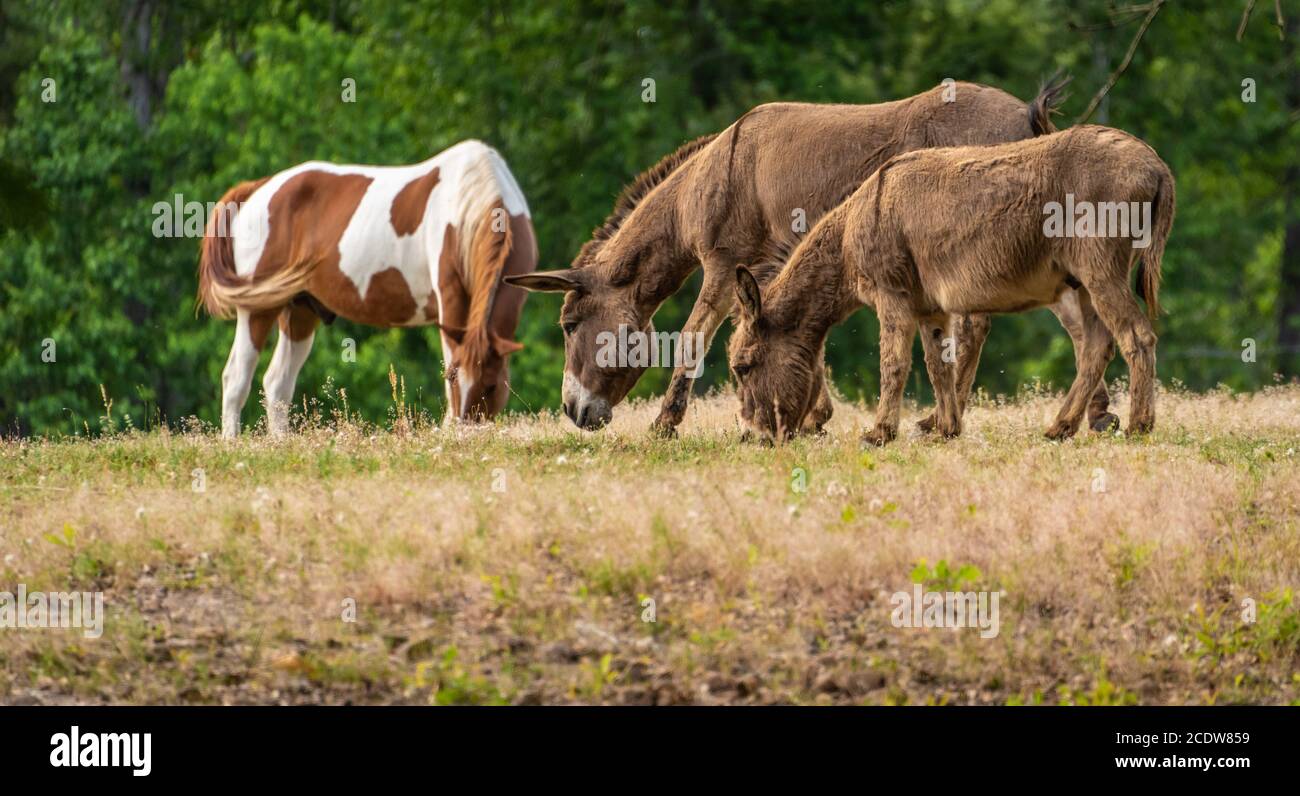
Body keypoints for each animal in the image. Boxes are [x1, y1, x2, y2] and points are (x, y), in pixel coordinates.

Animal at [197, 140, 536, 437]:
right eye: (452, 378)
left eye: (491, 386)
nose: (465, 433)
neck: (474, 200)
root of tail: (260, 189)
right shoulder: (450, 297)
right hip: (257, 308)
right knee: (236, 378)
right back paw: (232, 444)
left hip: (300, 310)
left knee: (277, 383)